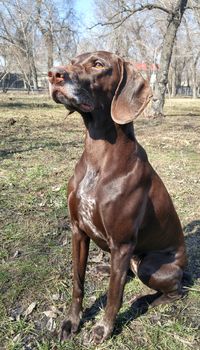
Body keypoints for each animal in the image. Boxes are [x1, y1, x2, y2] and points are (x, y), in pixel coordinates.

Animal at [48, 52, 188, 344]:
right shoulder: (78, 230)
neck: (98, 155)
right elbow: (78, 282)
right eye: (72, 61)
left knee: (176, 291)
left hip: (151, 265)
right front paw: (71, 321)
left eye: (98, 65)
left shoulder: (122, 244)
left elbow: (114, 294)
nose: (54, 74)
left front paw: (103, 328)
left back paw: (146, 301)